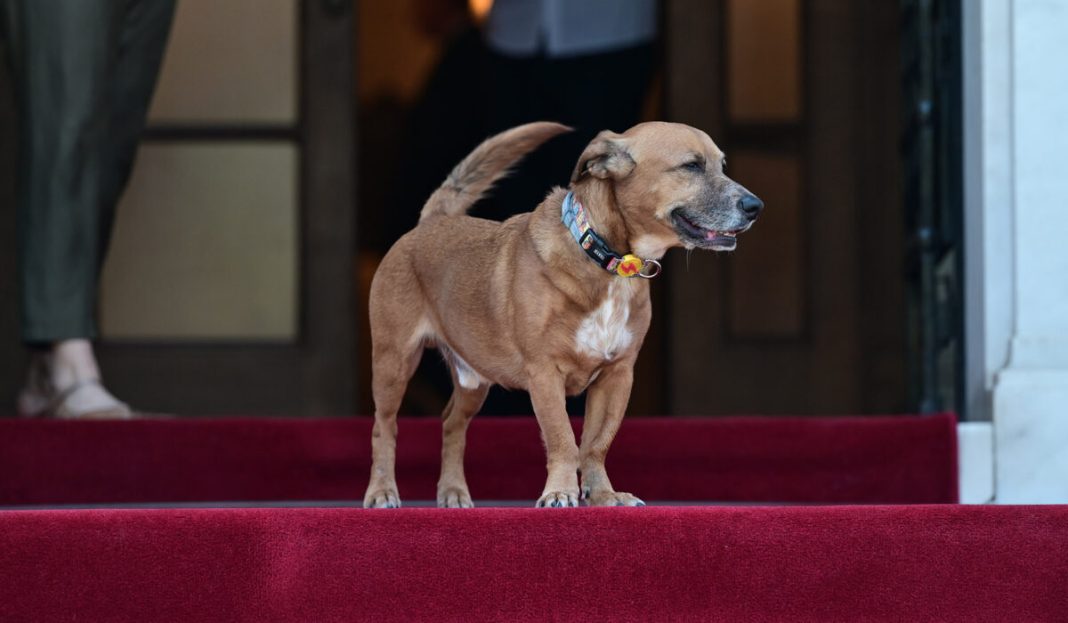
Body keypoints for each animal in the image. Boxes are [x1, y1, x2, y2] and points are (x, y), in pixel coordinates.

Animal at [364, 121, 763, 508]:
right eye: (691, 166)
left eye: (722, 165)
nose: (755, 205)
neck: (607, 262)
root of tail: (432, 222)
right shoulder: (545, 373)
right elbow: (563, 439)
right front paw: (560, 492)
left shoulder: (617, 376)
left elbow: (596, 444)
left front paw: (603, 496)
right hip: (394, 362)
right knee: (384, 427)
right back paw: (382, 492)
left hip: (473, 378)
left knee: (452, 425)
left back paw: (453, 492)